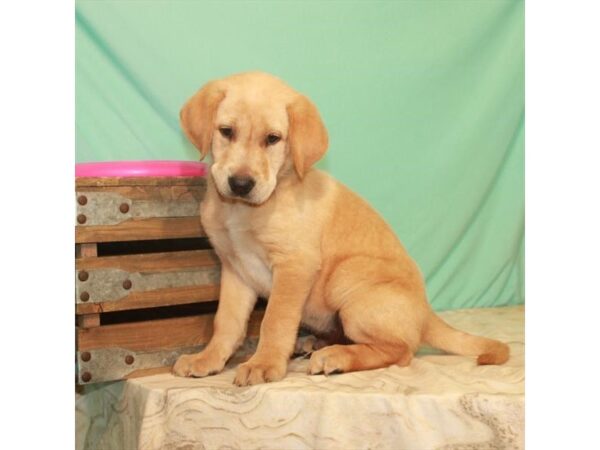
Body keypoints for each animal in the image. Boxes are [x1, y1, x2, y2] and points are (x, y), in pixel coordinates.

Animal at [171, 72, 508, 384]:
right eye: (226, 132)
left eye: (273, 139)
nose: (241, 184)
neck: (242, 211)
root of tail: (426, 313)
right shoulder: (235, 268)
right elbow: (226, 322)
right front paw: (208, 359)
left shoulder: (295, 265)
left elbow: (275, 320)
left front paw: (263, 363)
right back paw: (313, 343)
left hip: (346, 281)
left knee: (401, 351)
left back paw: (336, 357)